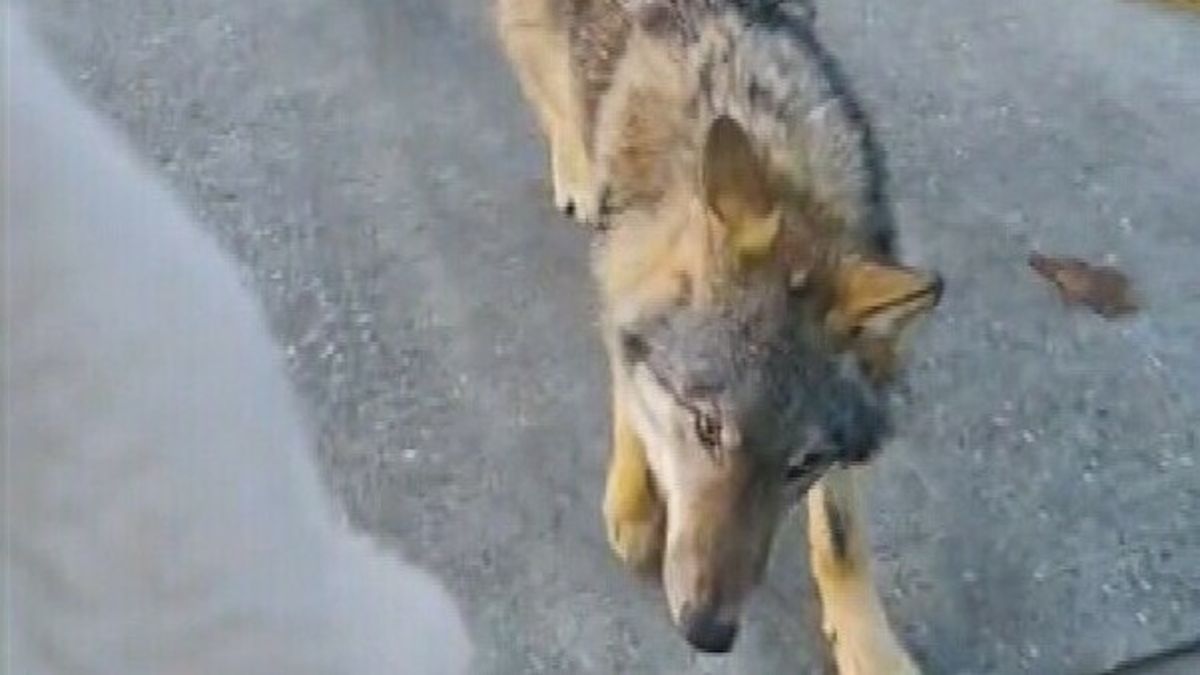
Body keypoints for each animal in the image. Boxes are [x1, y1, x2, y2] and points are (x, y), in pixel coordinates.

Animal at [496, 0, 942, 670]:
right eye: (707, 427)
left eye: (803, 463)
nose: (709, 633)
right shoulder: (622, 277)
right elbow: (629, 381)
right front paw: (634, 503)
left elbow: (841, 539)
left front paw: (870, 647)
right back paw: (574, 164)